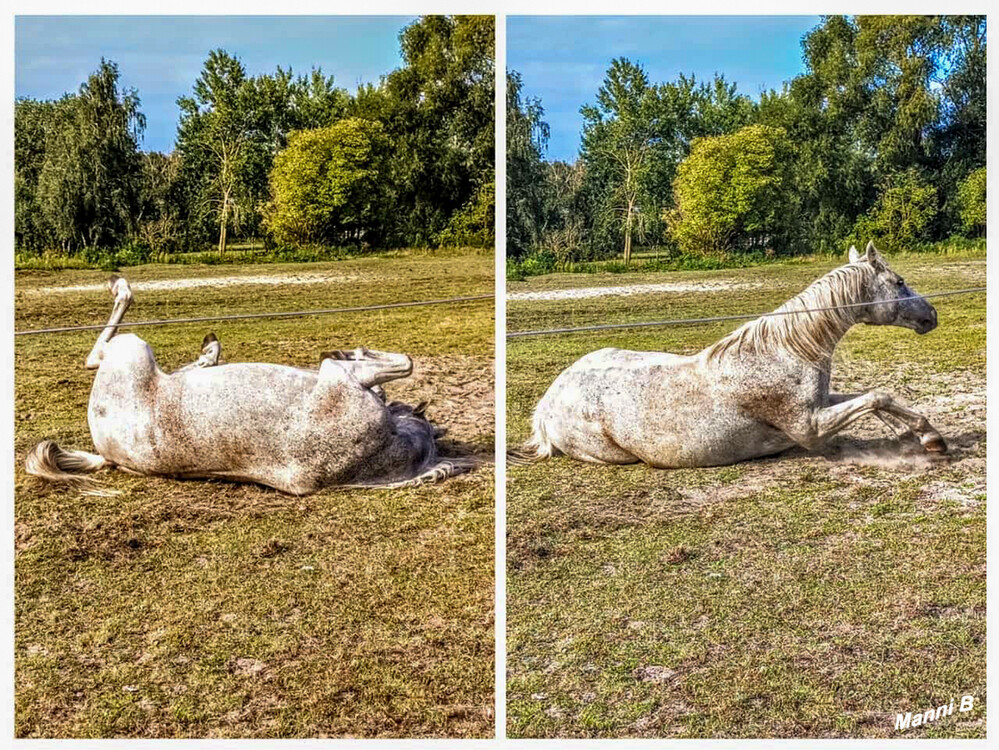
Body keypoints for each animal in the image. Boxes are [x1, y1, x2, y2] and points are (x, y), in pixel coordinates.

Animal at [26, 276, 472, 494]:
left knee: (99, 352)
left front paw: (356, 353)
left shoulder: (339, 375)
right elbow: (401, 362)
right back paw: (208, 350)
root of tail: (105, 452)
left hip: (132, 351)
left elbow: (403, 362)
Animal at [512, 242, 948, 470]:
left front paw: (921, 435)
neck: (783, 352)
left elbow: (879, 398)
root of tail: (547, 403)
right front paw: (931, 438)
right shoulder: (809, 427)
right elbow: (877, 397)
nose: (931, 315)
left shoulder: (823, 403)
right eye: (898, 282)